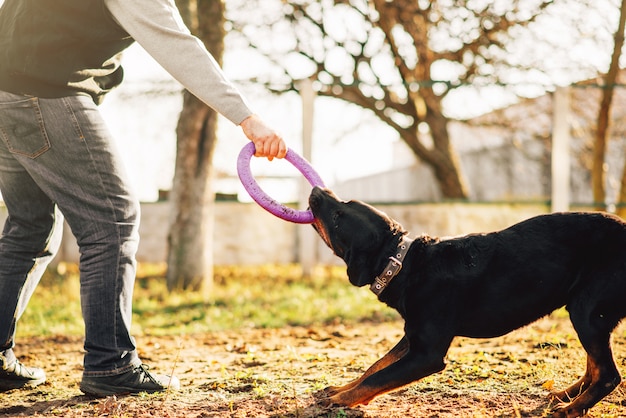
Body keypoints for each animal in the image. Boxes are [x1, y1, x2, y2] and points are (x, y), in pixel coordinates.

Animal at [308, 188, 624, 418]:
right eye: (343, 202)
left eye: (337, 216)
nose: (317, 190)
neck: (404, 264)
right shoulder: (412, 337)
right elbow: (374, 368)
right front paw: (339, 389)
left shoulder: (427, 353)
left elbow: (379, 376)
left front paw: (340, 400)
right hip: (589, 315)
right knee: (594, 367)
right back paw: (564, 397)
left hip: (586, 312)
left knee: (608, 375)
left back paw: (570, 409)